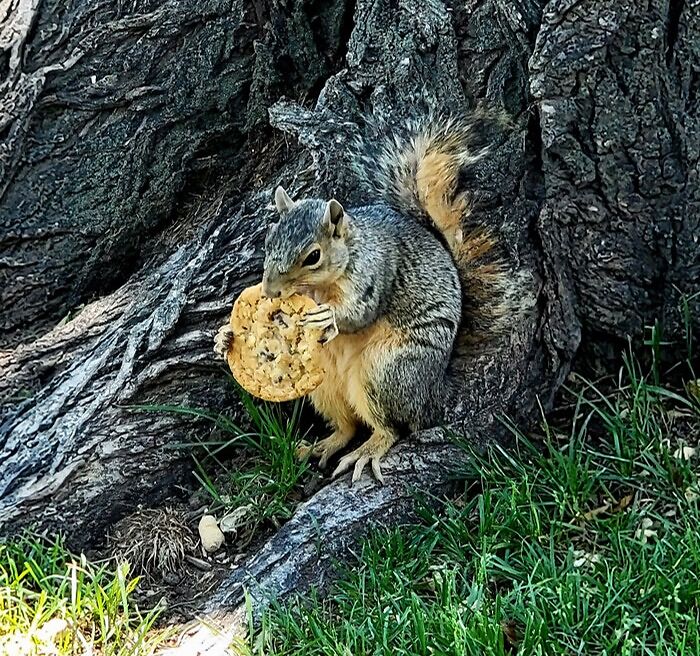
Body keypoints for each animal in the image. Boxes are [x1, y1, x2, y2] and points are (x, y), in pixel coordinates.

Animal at [213, 113, 508, 482]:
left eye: (313, 256)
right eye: (269, 240)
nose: (269, 292)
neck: (321, 287)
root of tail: (435, 394)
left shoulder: (375, 272)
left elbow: (361, 312)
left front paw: (327, 316)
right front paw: (225, 337)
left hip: (386, 372)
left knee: (391, 429)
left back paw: (367, 452)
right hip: (324, 385)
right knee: (347, 426)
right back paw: (320, 446)